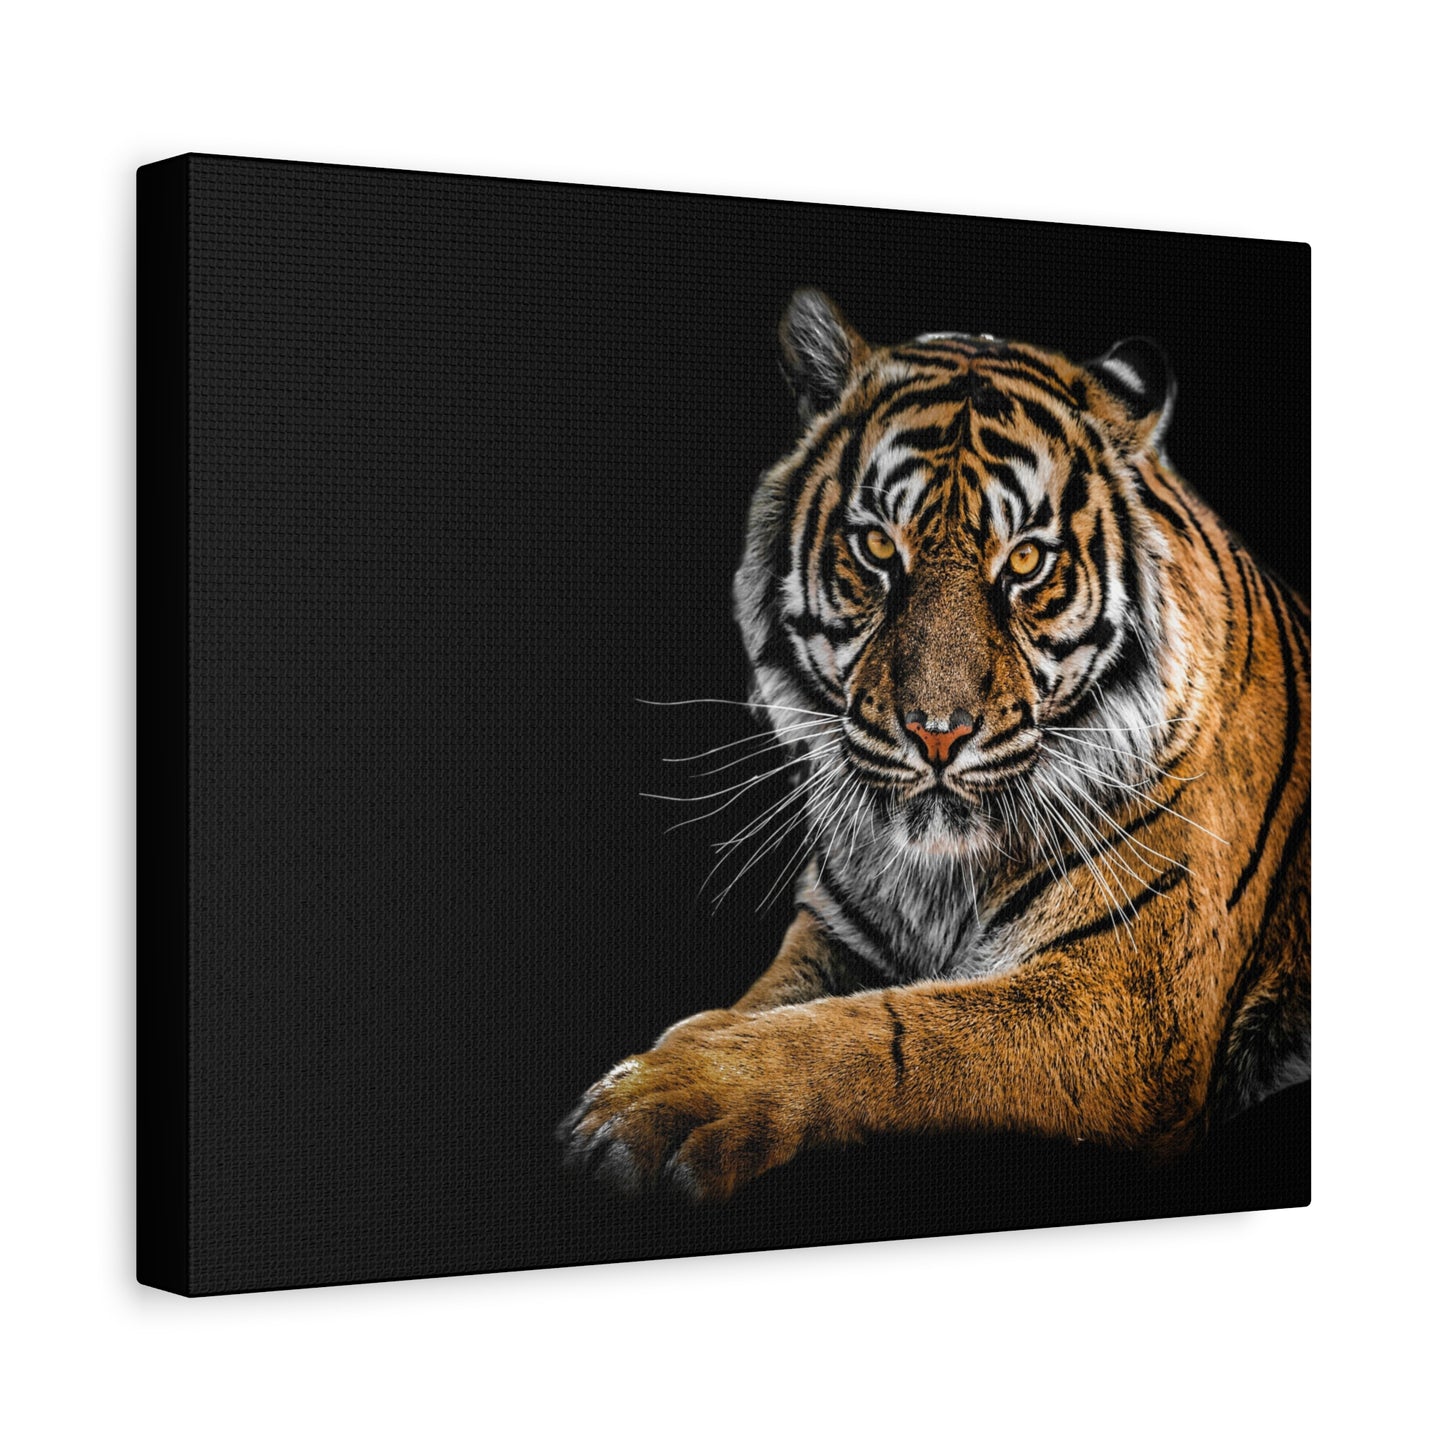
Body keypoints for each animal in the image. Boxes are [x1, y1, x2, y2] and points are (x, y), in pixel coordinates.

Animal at [559, 288, 1310, 1201]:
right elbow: (767, 1003)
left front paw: (669, 1094)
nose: (936, 733)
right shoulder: (835, 933)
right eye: (878, 546)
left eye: (1024, 561)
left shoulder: (1126, 1000)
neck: (936, 877)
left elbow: (885, 1032)